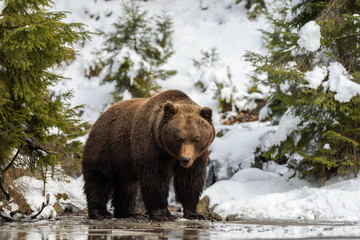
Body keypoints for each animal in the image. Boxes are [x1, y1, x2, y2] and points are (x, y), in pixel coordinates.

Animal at [81, 89, 215, 220]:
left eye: (196, 139)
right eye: (179, 138)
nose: (185, 159)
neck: (171, 153)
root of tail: (100, 116)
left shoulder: (198, 156)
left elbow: (190, 179)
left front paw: (195, 214)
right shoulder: (153, 146)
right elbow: (156, 177)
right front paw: (164, 215)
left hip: (125, 163)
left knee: (127, 186)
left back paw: (129, 213)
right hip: (106, 146)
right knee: (99, 179)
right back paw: (101, 213)